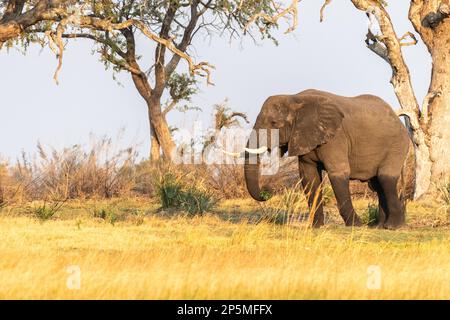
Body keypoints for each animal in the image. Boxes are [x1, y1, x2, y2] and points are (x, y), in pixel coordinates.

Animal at [243, 90, 412, 229]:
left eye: (274, 123)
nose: (267, 191)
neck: (295, 98)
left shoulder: (336, 137)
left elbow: (338, 172)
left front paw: (355, 226)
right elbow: (309, 178)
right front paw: (316, 227)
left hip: (397, 145)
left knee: (385, 179)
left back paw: (393, 227)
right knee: (378, 184)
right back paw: (379, 227)